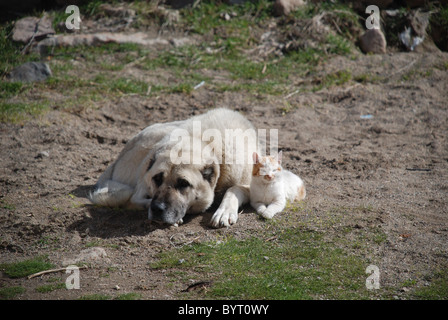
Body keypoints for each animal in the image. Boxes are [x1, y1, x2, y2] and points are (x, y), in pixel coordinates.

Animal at [89, 108, 260, 228]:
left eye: (183, 183)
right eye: (157, 179)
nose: (157, 209)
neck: (208, 143)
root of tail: (118, 157)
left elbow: (233, 189)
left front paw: (224, 212)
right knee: (134, 197)